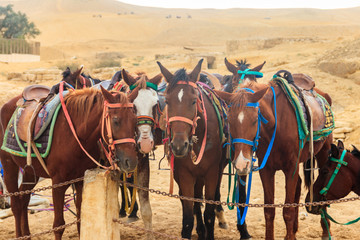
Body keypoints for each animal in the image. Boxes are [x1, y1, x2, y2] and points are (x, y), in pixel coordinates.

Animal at [0, 86, 139, 240]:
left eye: (135, 121)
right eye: (115, 121)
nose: (131, 161)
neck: (76, 136)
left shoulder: (80, 181)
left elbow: (80, 220)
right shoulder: (58, 184)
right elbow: (59, 225)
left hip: (31, 171)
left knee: (24, 199)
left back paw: (26, 235)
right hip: (8, 166)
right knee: (16, 205)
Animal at [158, 58, 228, 240]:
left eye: (193, 101)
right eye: (167, 102)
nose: (178, 146)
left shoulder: (211, 173)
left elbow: (209, 215)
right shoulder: (185, 175)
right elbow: (188, 218)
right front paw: (194, 229)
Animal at [215, 78, 334, 239]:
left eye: (255, 120)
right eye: (229, 121)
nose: (241, 164)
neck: (276, 127)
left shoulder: (291, 169)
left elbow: (288, 211)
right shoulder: (267, 170)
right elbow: (269, 211)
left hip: (323, 153)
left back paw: (325, 231)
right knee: (298, 187)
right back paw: (294, 229)